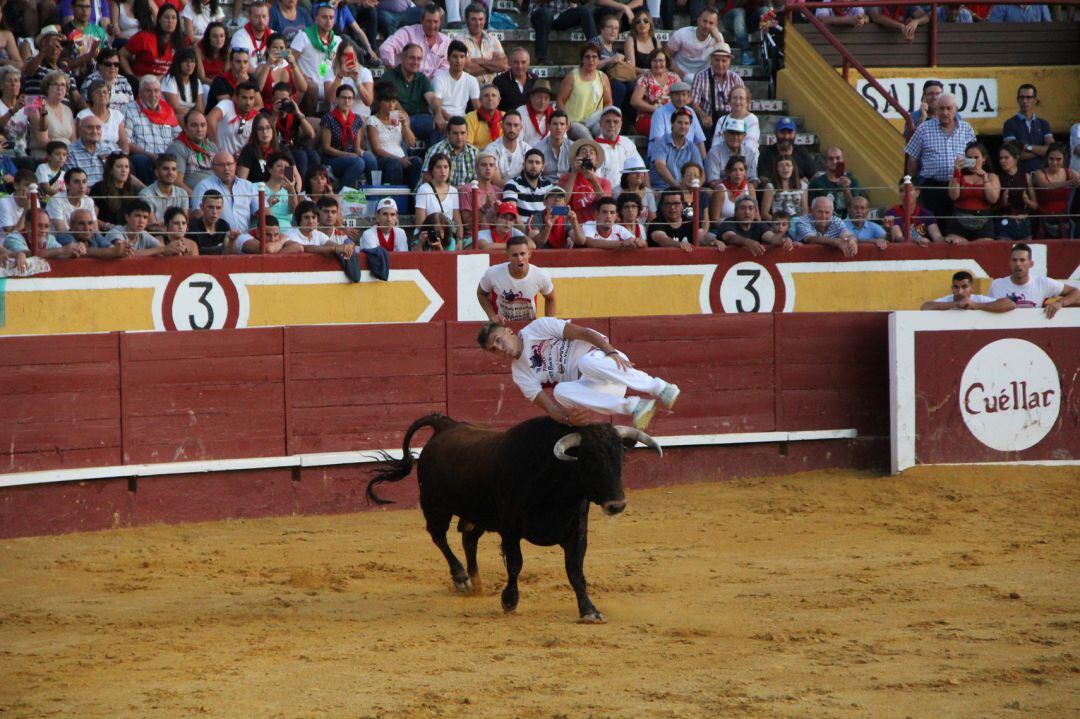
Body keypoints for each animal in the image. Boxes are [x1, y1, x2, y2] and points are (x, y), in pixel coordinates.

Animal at [367, 414, 660, 621]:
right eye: (588, 459)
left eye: (620, 457)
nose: (617, 504)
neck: (554, 484)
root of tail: (445, 424)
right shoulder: (510, 530)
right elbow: (516, 564)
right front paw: (509, 600)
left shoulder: (577, 532)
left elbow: (576, 572)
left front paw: (589, 610)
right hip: (435, 505)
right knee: (439, 536)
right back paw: (461, 578)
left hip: (479, 515)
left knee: (468, 538)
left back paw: (477, 583)